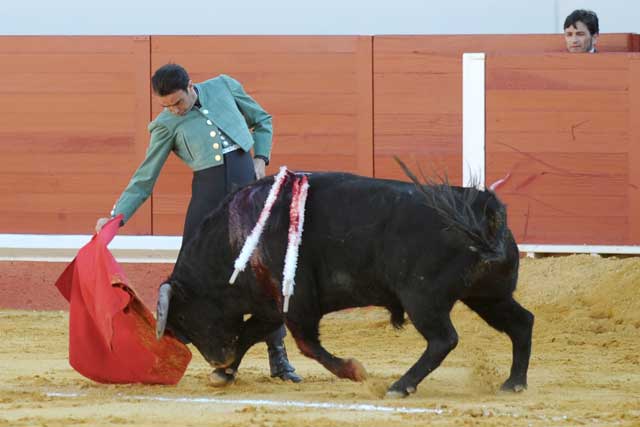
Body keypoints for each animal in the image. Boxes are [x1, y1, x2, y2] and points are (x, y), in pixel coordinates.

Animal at [156, 171, 536, 398]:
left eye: (186, 317)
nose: (217, 359)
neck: (239, 239)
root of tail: (482, 206)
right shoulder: (272, 306)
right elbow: (249, 334)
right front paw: (225, 373)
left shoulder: (297, 304)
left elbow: (307, 345)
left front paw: (354, 370)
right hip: (488, 295)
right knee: (521, 322)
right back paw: (514, 383)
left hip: (422, 298)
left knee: (444, 339)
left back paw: (400, 386)